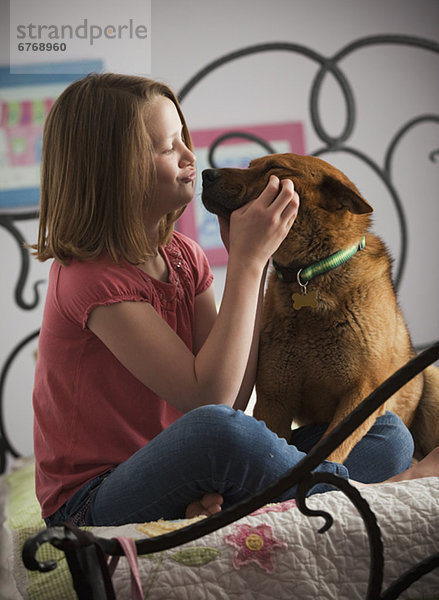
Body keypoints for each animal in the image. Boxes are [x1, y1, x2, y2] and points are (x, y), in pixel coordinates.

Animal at [203, 152, 439, 462]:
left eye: (274, 168)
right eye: (251, 165)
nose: (206, 174)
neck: (311, 272)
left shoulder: (361, 394)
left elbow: (331, 451)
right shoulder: (274, 397)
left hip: (432, 382)